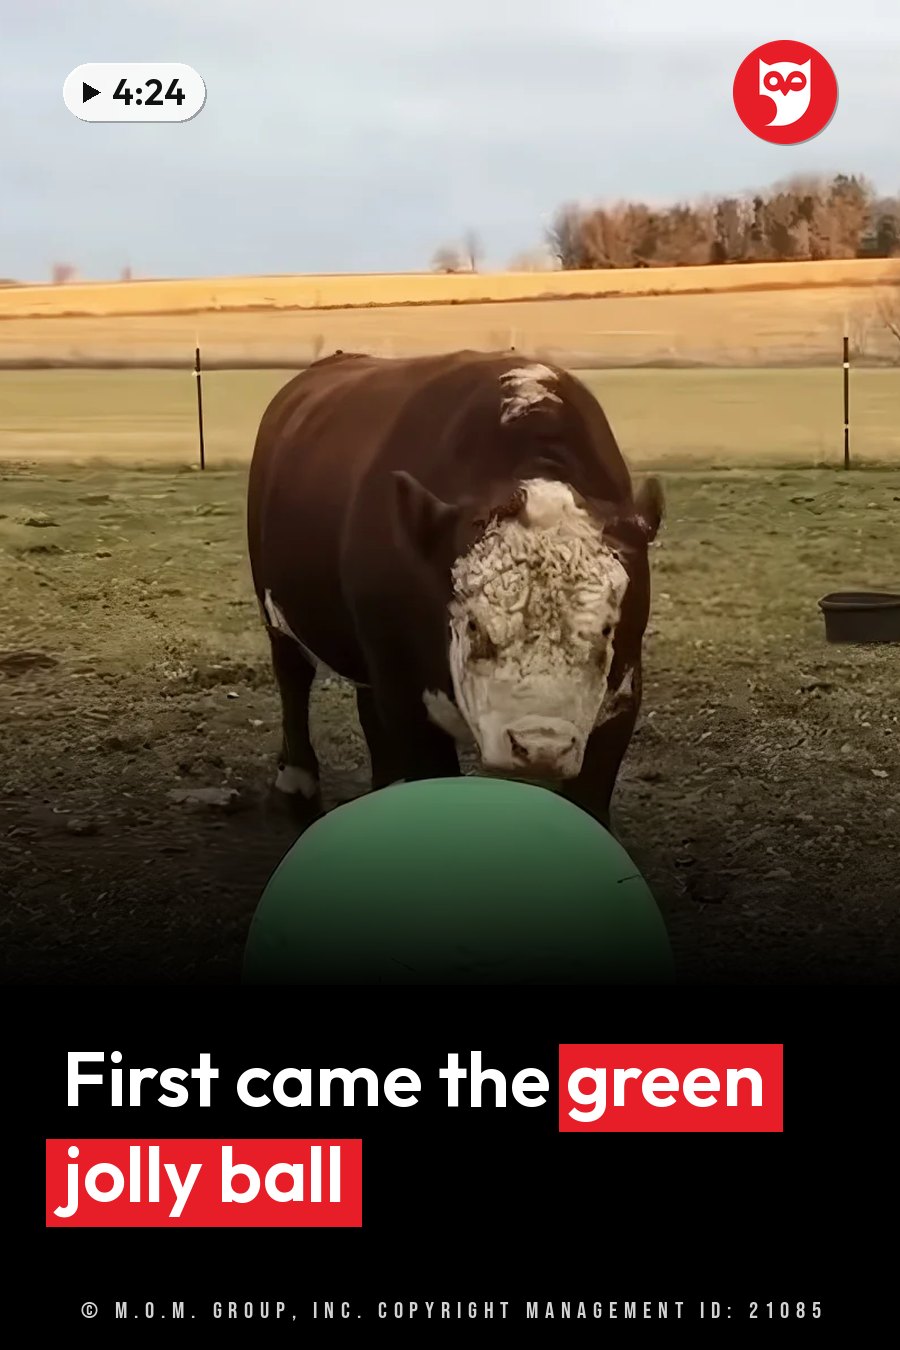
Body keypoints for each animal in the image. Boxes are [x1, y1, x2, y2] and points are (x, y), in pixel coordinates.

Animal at [247, 351, 663, 831]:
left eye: (607, 629)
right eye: (474, 625)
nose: (541, 746)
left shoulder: (621, 698)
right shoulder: (406, 695)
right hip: (277, 612)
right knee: (292, 675)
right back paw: (297, 781)